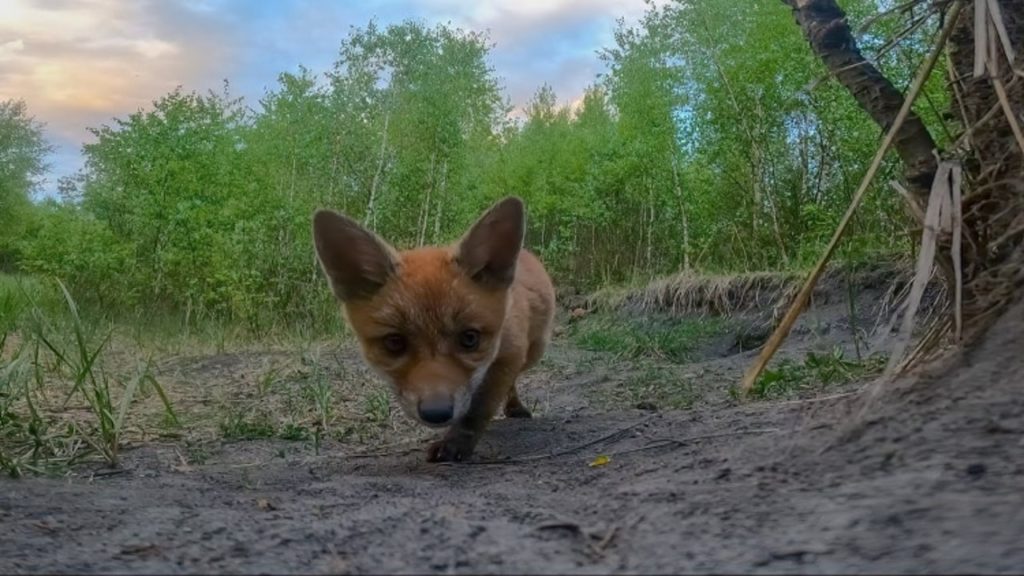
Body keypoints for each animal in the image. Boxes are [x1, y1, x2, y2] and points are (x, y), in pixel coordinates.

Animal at [311, 196, 557, 461]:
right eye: (394, 342)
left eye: (470, 338)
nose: (436, 413)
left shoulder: (508, 354)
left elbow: (478, 408)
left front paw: (456, 443)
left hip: (534, 352)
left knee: (514, 379)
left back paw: (515, 407)